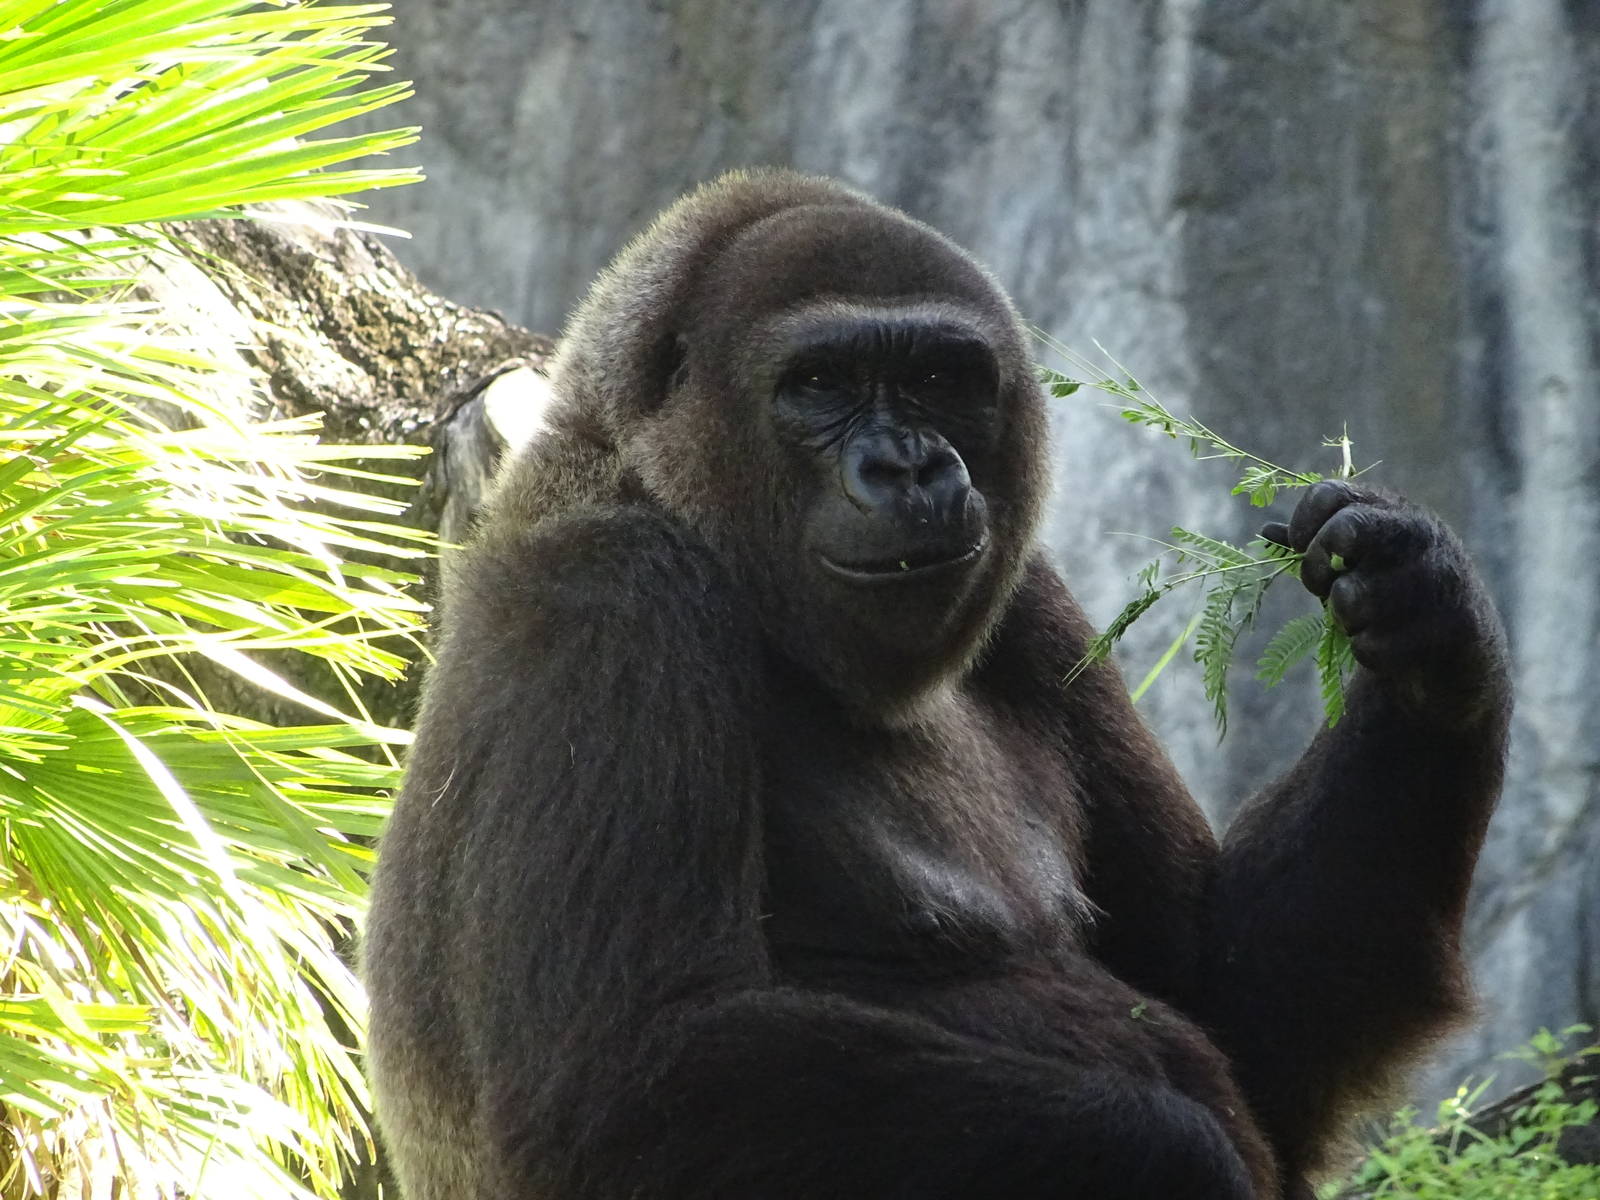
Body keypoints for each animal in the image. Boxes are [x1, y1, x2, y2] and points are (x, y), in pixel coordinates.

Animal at [362, 169, 1510, 1200]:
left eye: (935, 380)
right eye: (819, 385)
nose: (909, 467)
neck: (659, 484)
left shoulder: (1033, 602)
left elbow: (1230, 999)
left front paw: (1428, 626)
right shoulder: (608, 598)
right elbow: (620, 1085)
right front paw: (1172, 1157)